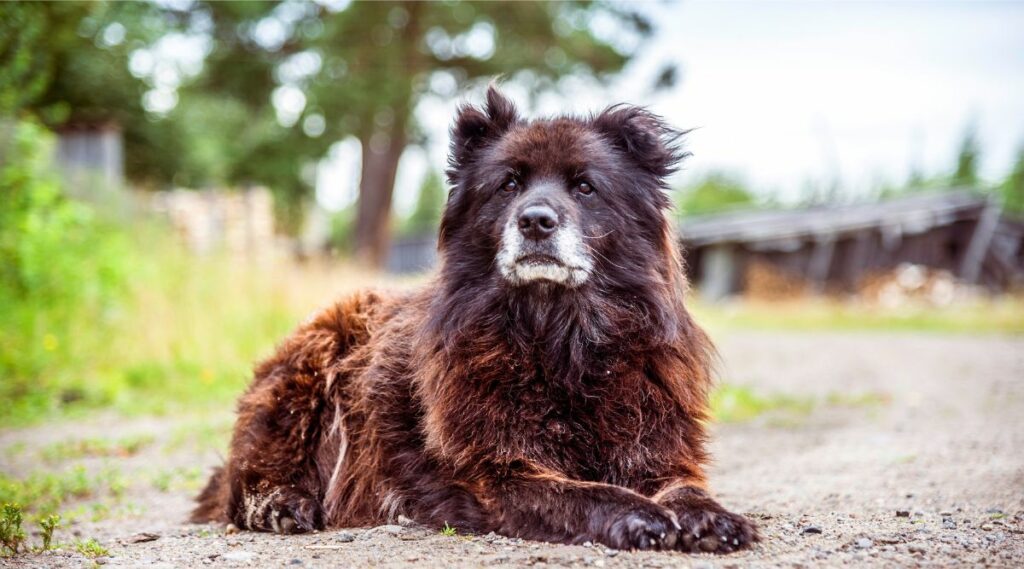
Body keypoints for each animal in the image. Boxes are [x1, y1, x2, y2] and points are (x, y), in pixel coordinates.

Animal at [193, 86, 753, 552]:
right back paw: (282, 504)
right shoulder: (496, 473)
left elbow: (685, 488)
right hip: (307, 373)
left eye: (585, 187)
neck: (559, 338)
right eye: (508, 184)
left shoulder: (657, 451)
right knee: (242, 484)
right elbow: (585, 493)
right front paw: (640, 515)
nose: (535, 221)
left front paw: (712, 517)